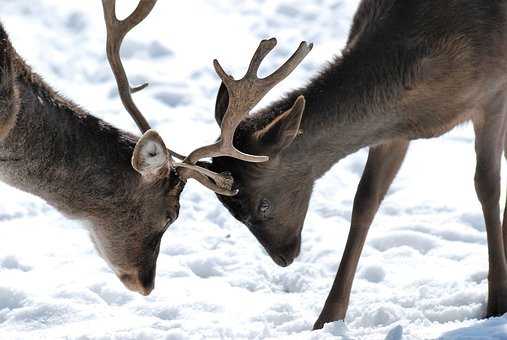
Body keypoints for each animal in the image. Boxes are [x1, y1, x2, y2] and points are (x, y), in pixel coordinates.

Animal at [210, 0, 507, 330]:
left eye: (263, 205)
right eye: (234, 214)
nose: (283, 257)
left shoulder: (493, 94)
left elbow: (487, 188)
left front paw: (496, 304)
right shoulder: (393, 131)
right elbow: (365, 200)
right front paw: (327, 319)